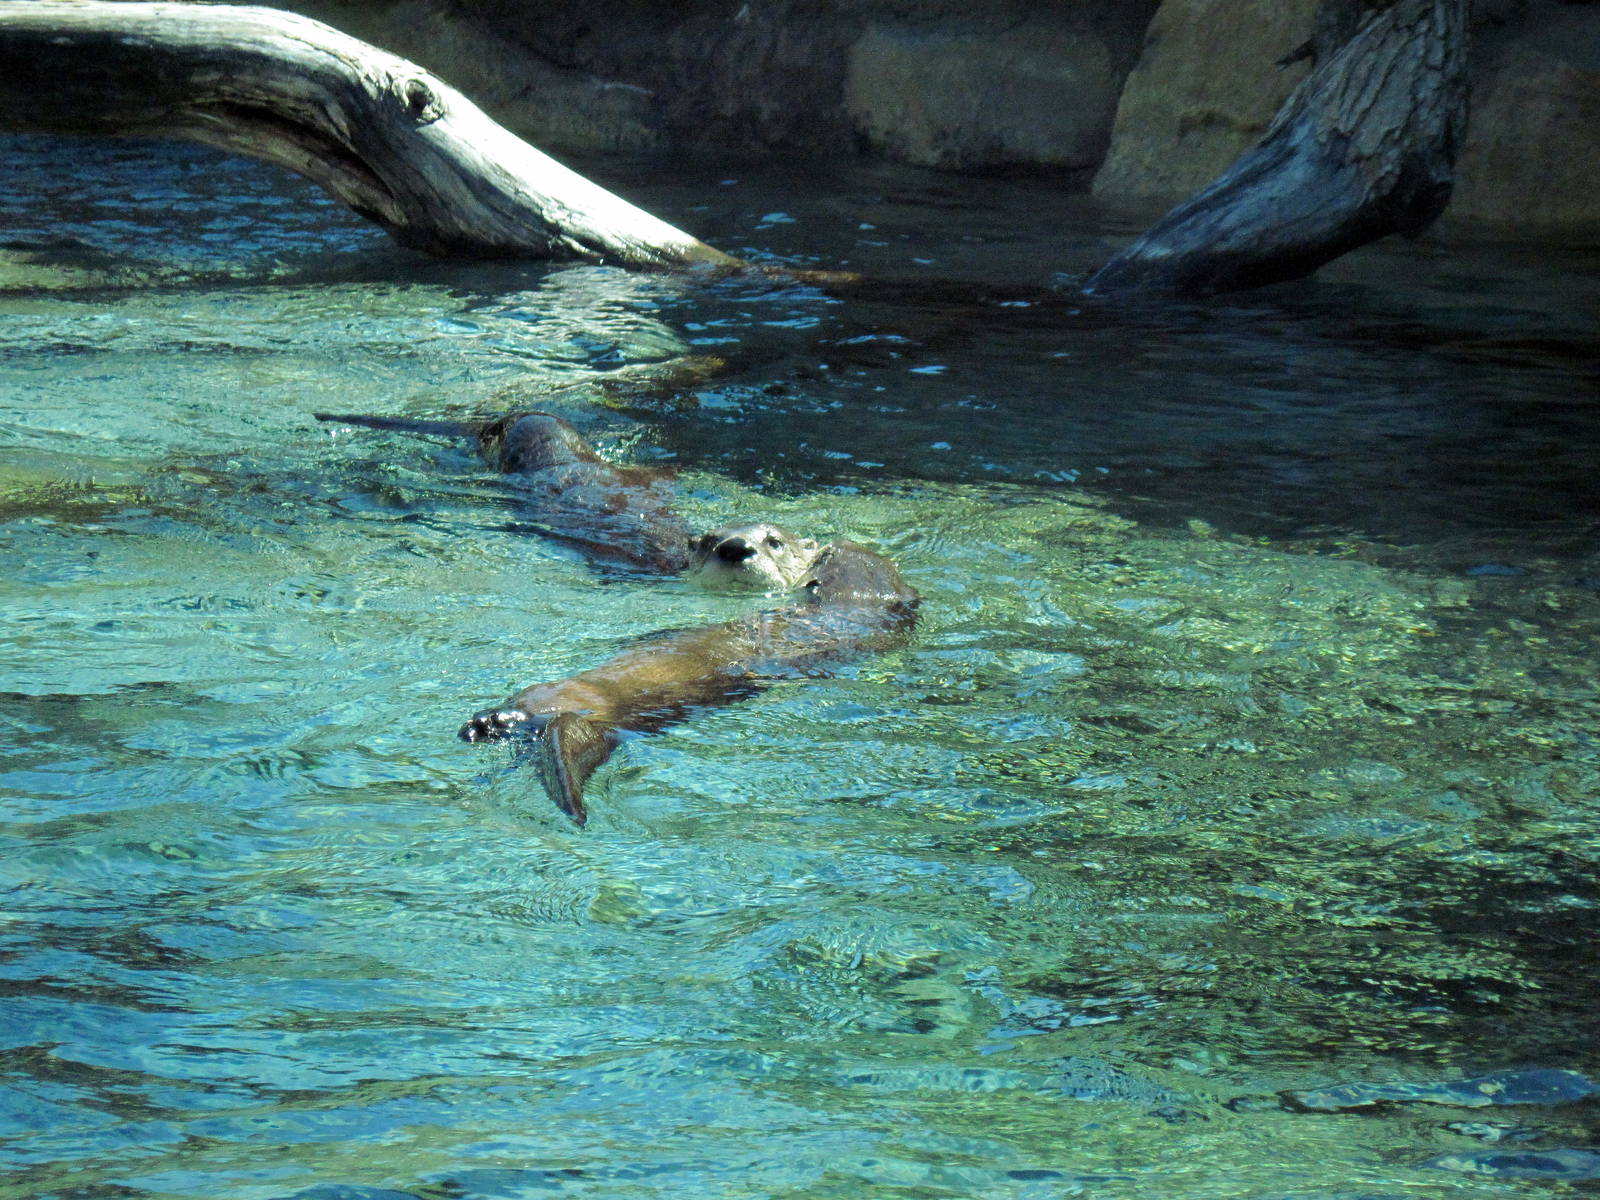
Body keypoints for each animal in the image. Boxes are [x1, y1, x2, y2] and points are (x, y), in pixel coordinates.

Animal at [459, 530, 919, 824]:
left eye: (776, 542)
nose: (737, 548)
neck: (857, 601)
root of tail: (610, 723)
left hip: (570, 695)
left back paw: (491, 723)